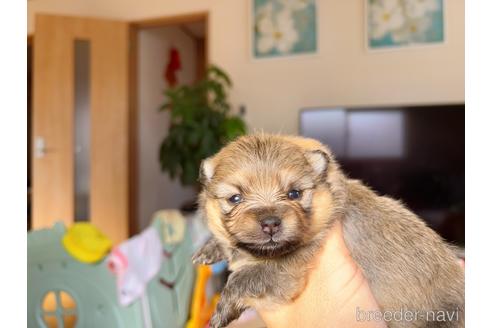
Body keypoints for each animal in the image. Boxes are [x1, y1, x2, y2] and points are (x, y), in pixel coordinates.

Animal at [192, 134, 466, 328]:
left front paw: (221, 311)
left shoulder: (285, 270)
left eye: (294, 193)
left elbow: (242, 280)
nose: (270, 222)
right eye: (235, 198)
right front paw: (212, 248)